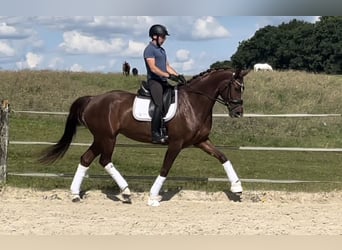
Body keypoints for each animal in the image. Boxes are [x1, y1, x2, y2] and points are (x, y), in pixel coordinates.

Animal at [40, 67, 250, 206]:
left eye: (242, 88)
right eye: (236, 87)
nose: (238, 113)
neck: (193, 103)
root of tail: (92, 99)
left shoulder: (201, 141)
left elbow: (223, 157)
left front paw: (237, 188)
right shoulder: (176, 143)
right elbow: (165, 168)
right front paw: (153, 196)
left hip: (100, 138)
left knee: (86, 159)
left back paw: (75, 194)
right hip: (107, 138)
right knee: (104, 160)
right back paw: (126, 192)